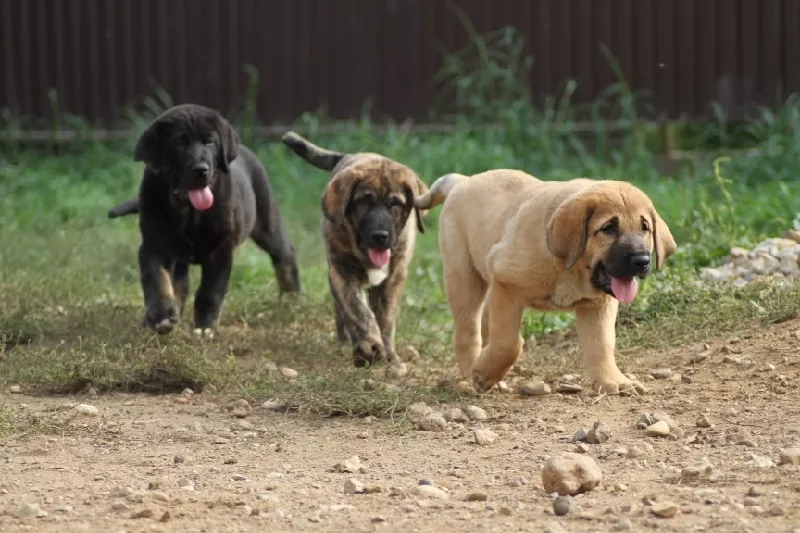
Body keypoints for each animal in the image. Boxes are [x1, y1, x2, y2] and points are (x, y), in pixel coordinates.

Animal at [109, 102, 300, 334]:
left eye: (210, 141)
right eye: (179, 142)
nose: (201, 169)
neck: (188, 213)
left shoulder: (220, 250)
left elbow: (210, 291)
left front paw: (205, 327)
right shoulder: (154, 245)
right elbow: (158, 281)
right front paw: (162, 315)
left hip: (265, 220)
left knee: (284, 253)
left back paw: (291, 298)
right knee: (179, 283)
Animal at [282, 132, 428, 366]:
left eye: (395, 204)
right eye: (363, 202)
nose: (380, 236)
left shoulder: (394, 276)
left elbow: (385, 318)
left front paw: (389, 355)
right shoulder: (342, 272)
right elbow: (359, 312)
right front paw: (369, 346)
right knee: (342, 311)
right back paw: (347, 342)